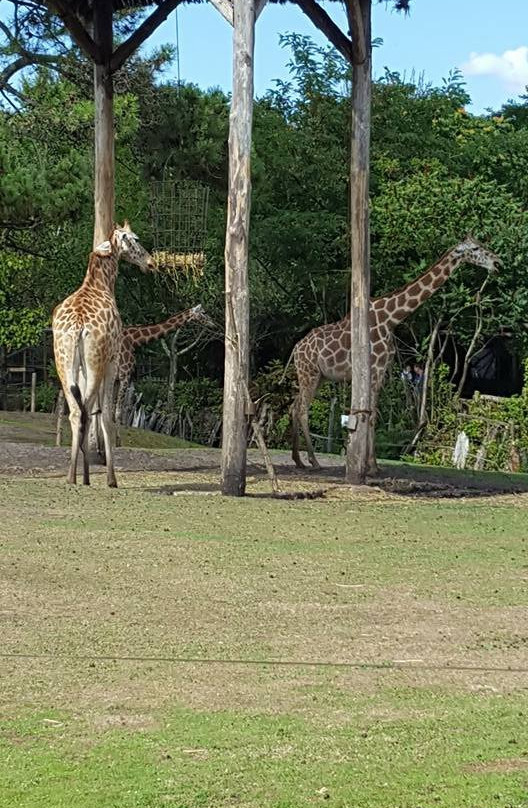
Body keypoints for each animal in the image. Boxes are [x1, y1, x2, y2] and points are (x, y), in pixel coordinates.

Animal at [51, 221, 155, 486]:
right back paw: (91, 477)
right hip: (97, 364)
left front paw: (87, 474)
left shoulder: (82, 368)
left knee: (77, 412)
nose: (150, 263)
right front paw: (111, 479)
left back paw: (73, 477)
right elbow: (107, 415)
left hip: (64, 363)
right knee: (87, 411)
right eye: (136, 239)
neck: (100, 282)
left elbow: (92, 413)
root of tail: (78, 325)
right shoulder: (112, 363)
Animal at [290, 234, 502, 474]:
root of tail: (296, 349)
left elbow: (372, 413)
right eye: (475, 249)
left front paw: (371, 465)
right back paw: (313, 460)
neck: (391, 318)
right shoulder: (375, 369)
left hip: (318, 377)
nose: (497, 263)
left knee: (295, 405)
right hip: (309, 373)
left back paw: (298, 459)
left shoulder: (381, 371)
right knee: (302, 409)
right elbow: (372, 415)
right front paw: (371, 466)